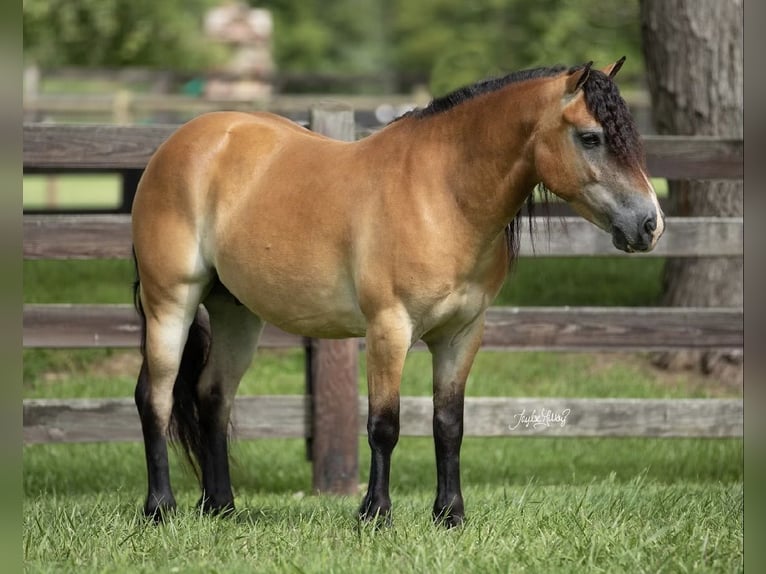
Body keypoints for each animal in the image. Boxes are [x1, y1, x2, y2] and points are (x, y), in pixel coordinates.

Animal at [131, 58, 664, 527]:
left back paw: (219, 506)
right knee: (155, 397)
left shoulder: (461, 335)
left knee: (212, 396)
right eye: (591, 137)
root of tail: (181, 143)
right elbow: (384, 425)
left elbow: (448, 424)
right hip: (170, 305)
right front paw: (374, 514)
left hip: (236, 313)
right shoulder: (389, 329)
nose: (650, 224)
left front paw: (450, 515)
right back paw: (160, 508)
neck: (441, 195)